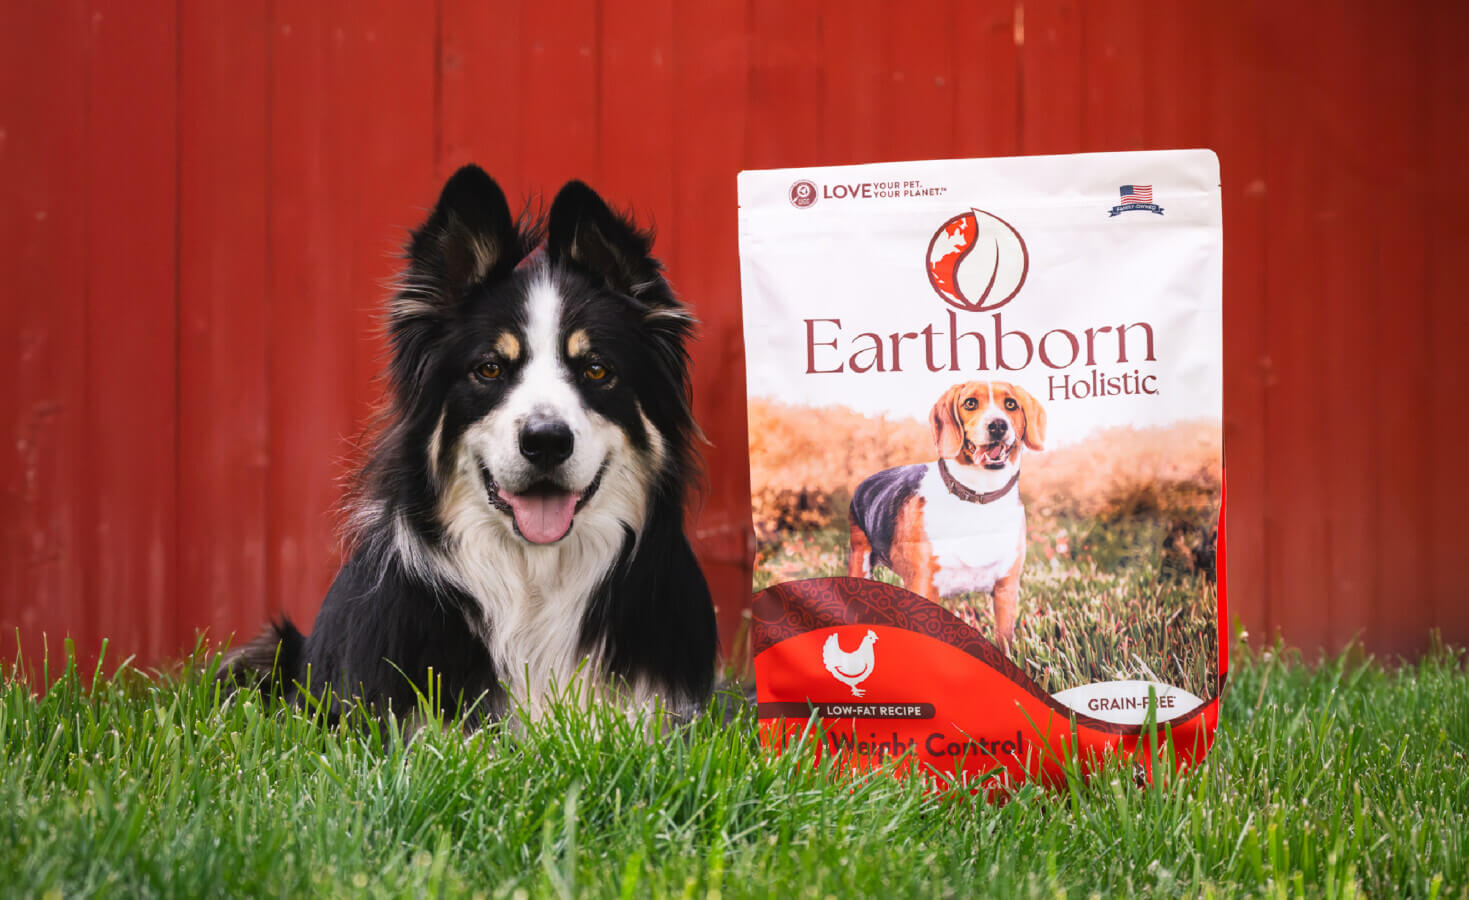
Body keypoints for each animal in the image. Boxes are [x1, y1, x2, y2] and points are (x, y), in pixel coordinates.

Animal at [852, 378, 1045, 646]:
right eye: (970, 403)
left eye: (1011, 404)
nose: (998, 425)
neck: (978, 499)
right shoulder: (924, 588)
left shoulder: (1006, 589)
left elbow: (1004, 642)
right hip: (859, 563)